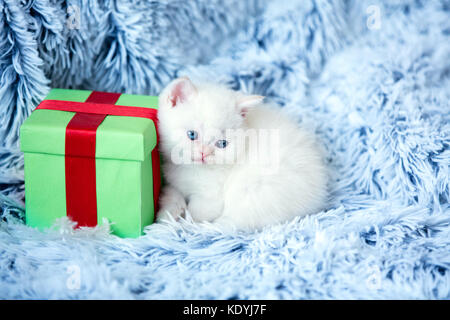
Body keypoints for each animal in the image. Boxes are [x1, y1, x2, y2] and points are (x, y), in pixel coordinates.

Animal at [156, 77, 328, 230]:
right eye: (192, 135)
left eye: (222, 144)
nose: (204, 153)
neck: (191, 169)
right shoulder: (173, 182)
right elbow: (172, 193)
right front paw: (169, 213)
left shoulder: (212, 198)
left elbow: (198, 212)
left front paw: (185, 223)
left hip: (256, 192)